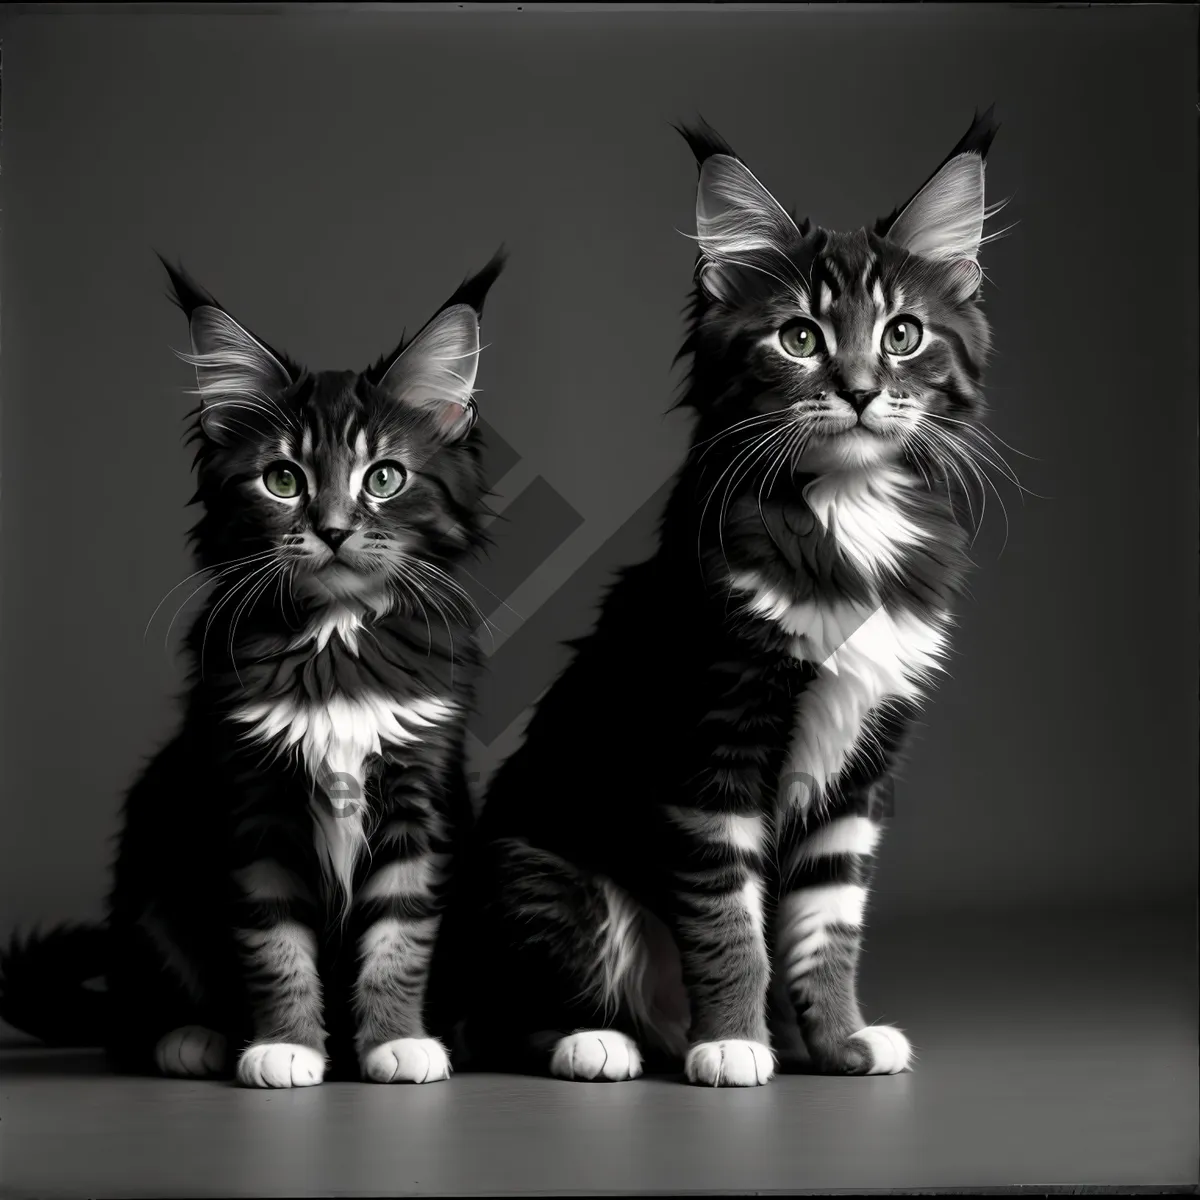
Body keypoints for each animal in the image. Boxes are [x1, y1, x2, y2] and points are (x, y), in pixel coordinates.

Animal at [1, 253, 506, 1089]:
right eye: (283, 480)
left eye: (384, 478)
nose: (331, 530)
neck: (335, 644)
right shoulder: (253, 804)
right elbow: (274, 943)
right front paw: (287, 1047)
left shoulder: (419, 793)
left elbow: (400, 935)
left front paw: (396, 1041)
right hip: (152, 858)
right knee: (135, 1014)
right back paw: (193, 1037)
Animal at [451, 112, 1003, 1089]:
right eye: (800, 339)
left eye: (902, 334)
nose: (861, 391)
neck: (848, 513)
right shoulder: (714, 744)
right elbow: (728, 918)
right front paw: (736, 1042)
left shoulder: (860, 773)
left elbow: (828, 925)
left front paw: (841, 1040)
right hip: (541, 875)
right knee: (505, 1017)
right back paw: (599, 1041)